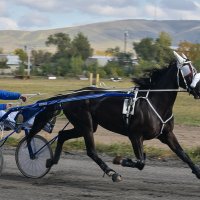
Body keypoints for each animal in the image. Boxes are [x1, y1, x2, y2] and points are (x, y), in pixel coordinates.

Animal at [27, 51, 200, 181]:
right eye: (189, 71)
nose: (199, 88)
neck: (154, 102)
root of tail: (69, 97)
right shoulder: (135, 135)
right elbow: (141, 162)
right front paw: (121, 160)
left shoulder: (167, 134)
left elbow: (184, 155)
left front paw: (197, 172)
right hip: (85, 124)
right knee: (91, 151)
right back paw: (112, 172)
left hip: (86, 126)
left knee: (62, 135)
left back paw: (51, 161)